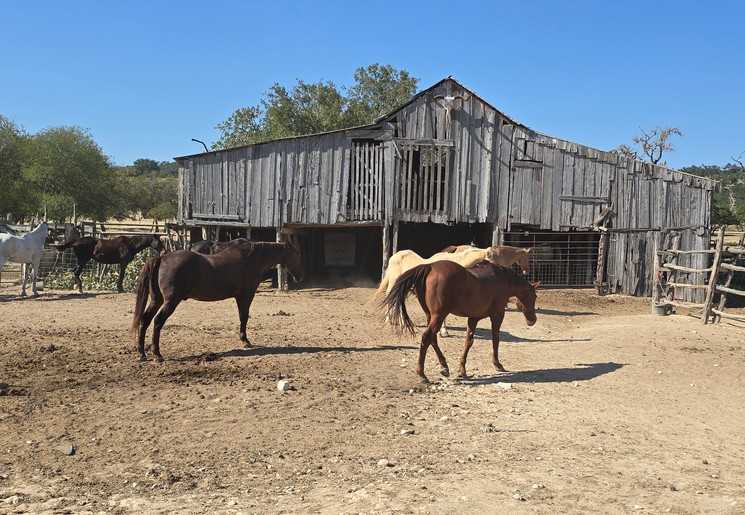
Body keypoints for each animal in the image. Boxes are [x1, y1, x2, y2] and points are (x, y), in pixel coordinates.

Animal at [130, 241, 304, 362]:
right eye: (296, 253)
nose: (301, 276)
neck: (252, 259)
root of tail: (161, 258)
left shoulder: (240, 297)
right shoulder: (246, 295)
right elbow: (244, 317)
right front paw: (245, 341)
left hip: (157, 300)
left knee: (145, 320)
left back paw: (142, 353)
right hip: (170, 302)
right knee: (158, 321)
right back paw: (157, 354)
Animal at [380, 260, 539, 383]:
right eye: (535, 296)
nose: (533, 320)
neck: (503, 278)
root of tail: (429, 266)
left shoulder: (473, 318)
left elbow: (468, 342)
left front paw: (462, 369)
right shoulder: (497, 315)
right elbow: (495, 339)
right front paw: (497, 364)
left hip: (431, 316)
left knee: (433, 339)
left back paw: (444, 367)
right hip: (439, 315)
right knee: (427, 337)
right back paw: (422, 375)